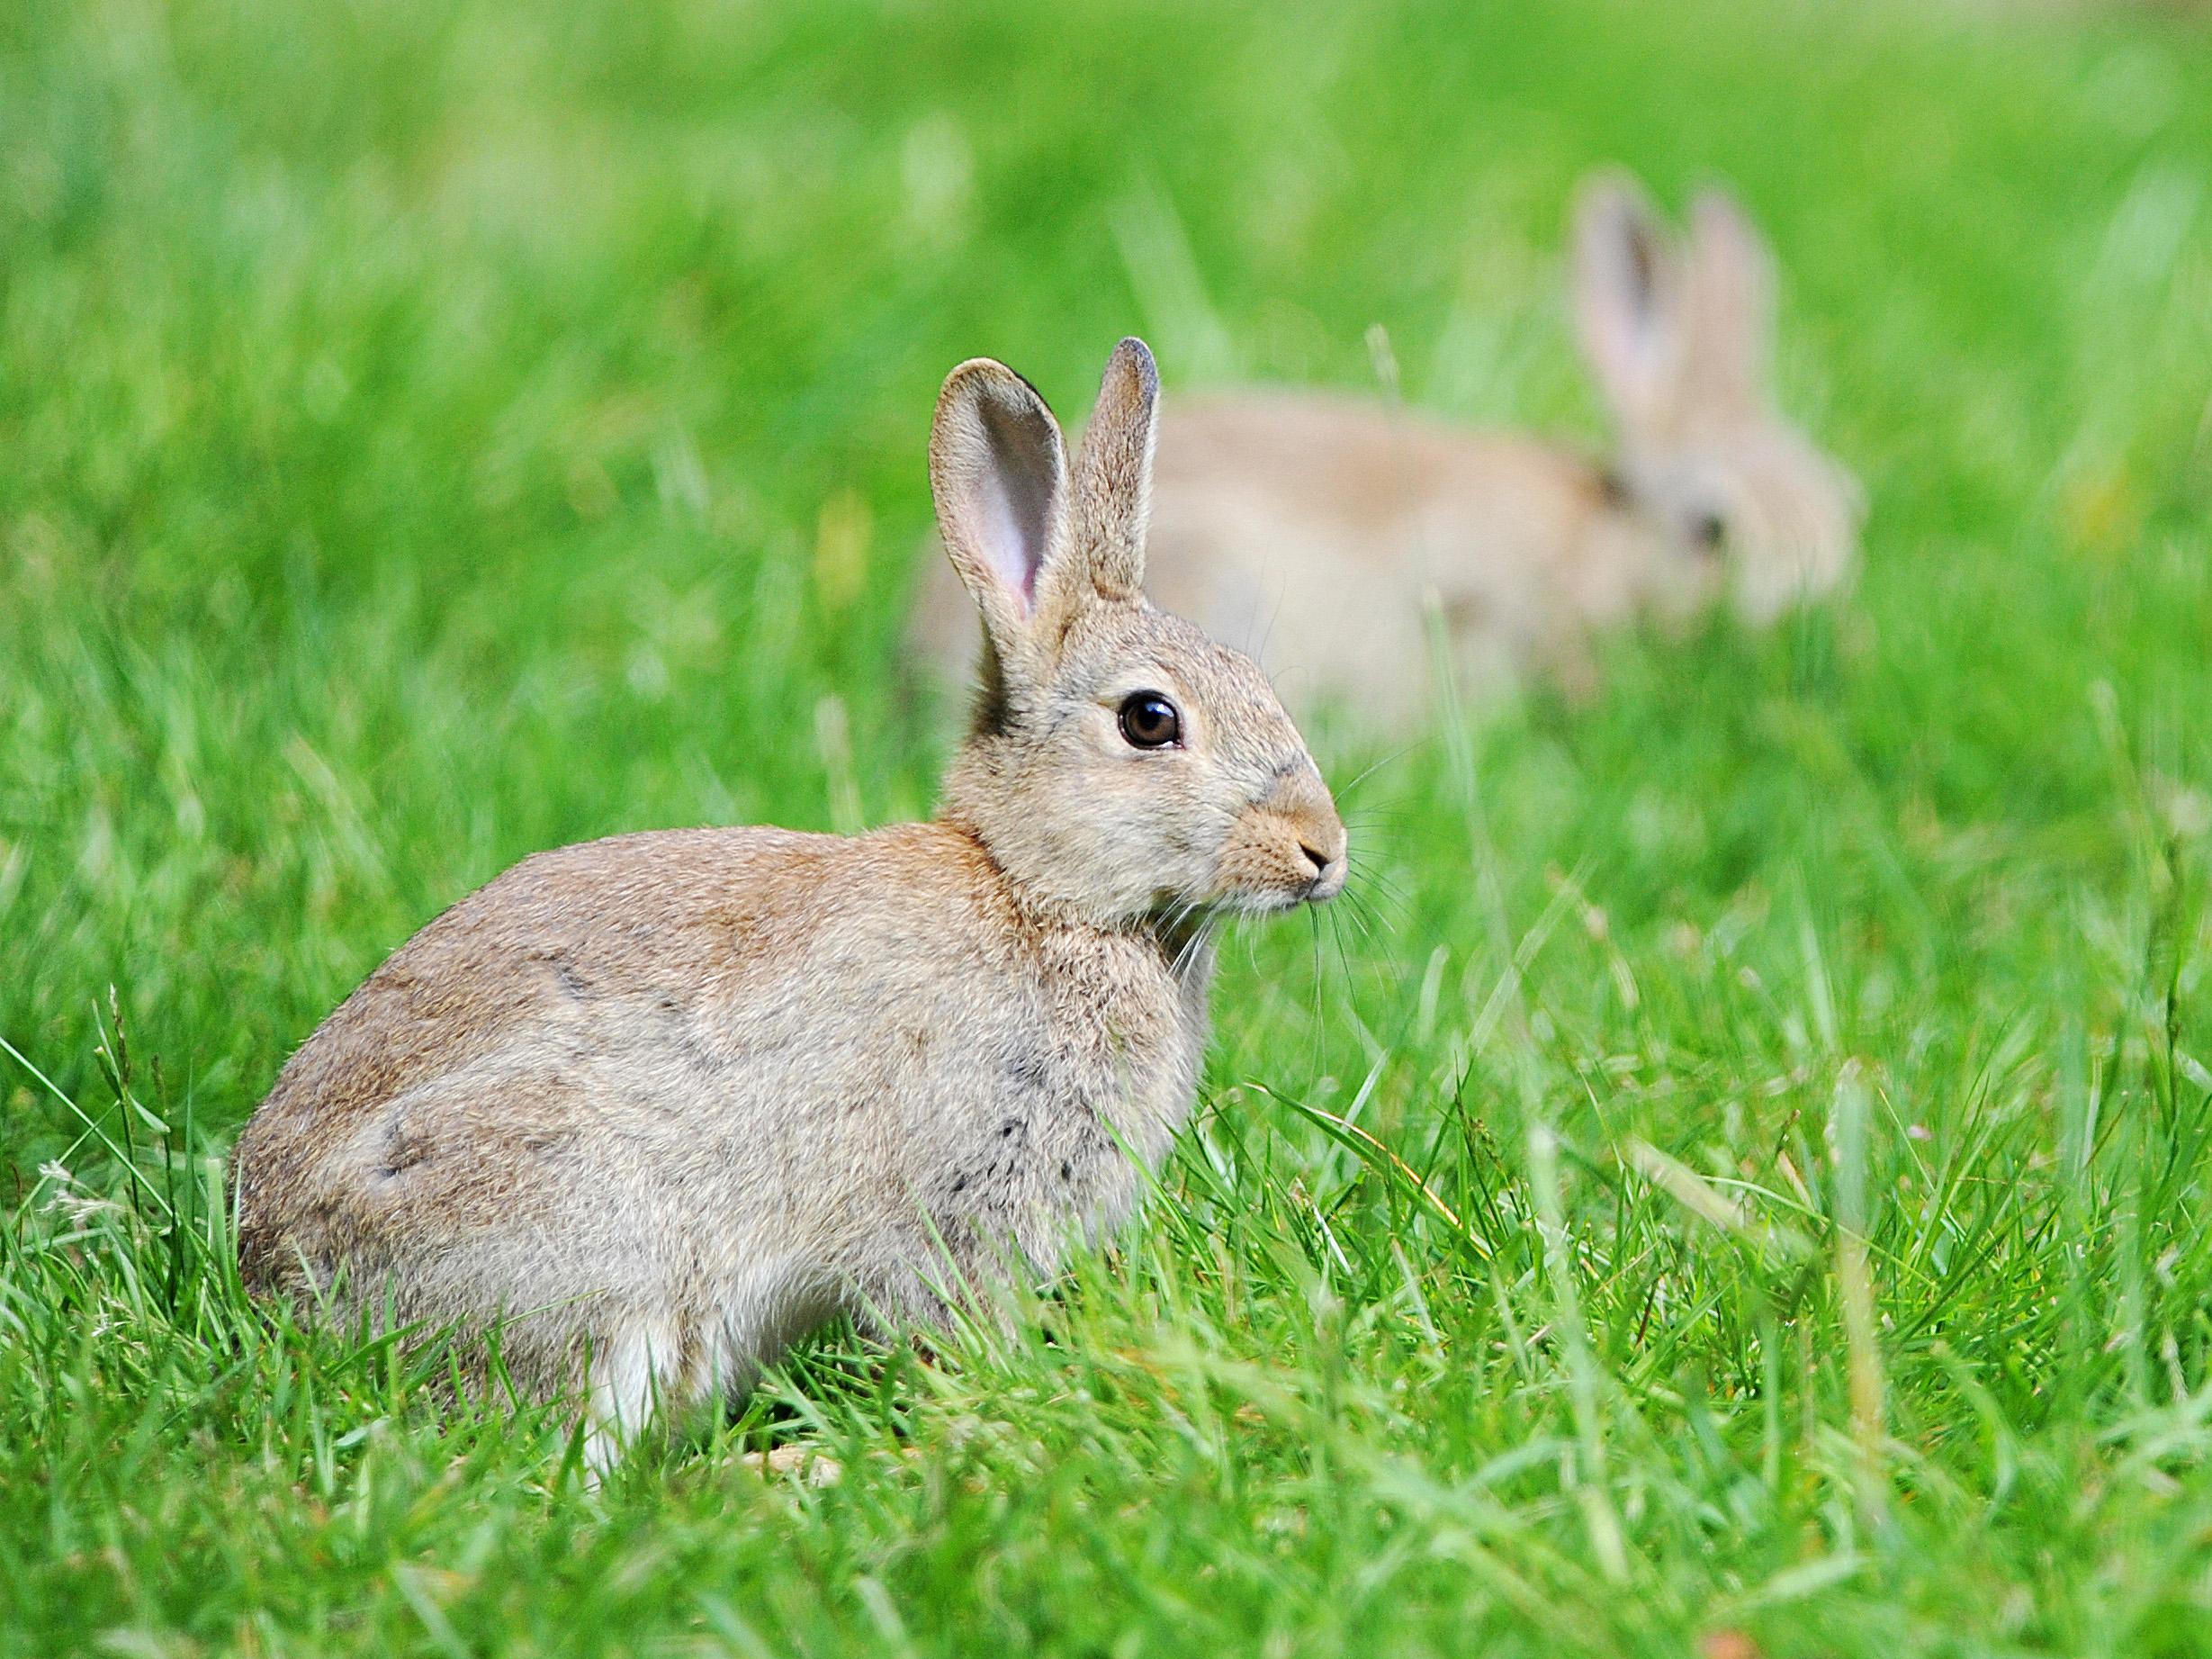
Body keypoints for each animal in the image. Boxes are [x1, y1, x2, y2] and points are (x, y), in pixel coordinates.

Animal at [229, 338, 1344, 1468]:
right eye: (1149, 720)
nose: (1323, 851)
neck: (1036, 892)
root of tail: (273, 1280)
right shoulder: (954, 1192)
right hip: (593, 1248)